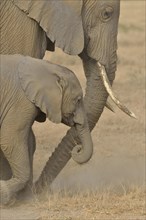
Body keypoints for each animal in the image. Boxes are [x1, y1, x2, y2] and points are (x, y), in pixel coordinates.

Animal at [0, 54, 93, 205]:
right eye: (78, 100)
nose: (78, 148)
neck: (48, 68)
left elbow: (29, 141)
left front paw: (24, 198)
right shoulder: (21, 101)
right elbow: (10, 140)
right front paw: (4, 194)